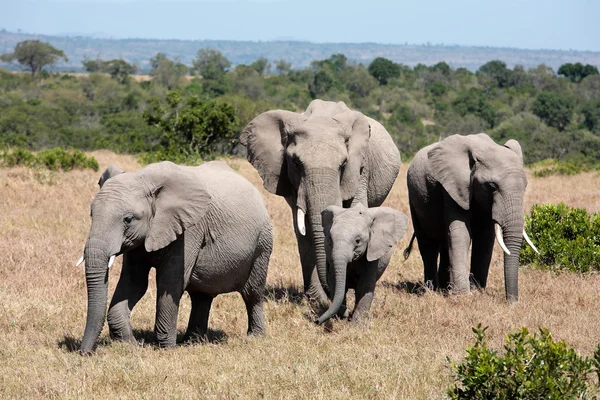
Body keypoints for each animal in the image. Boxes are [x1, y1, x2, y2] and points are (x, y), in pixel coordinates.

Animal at [76, 159, 274, 354]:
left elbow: (169, 282)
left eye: (128, 219)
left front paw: (166, 349)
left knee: (252, 292)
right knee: (201, 296)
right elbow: (134, 282)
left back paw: (255, 337)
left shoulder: (189, 229)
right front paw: (130, 344)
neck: (145, 179)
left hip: (263, 242)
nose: (85, 352)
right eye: (91, 214)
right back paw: (192, 341)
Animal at [239, 98, 398, 308]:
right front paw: (317, 300)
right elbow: (304, 231)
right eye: (296, 163)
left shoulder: (360, 169)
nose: (329, 292)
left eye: (343, 165)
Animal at [406, 133, 536, 302]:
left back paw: (445, 288)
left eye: (525, 186)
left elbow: (485, 237)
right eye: (492, 186)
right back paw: (432, 290)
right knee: (427, 244)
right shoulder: (453, 187)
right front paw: (463, 295)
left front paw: (477, 291)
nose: (513, 302)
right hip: (414, 198)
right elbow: (461, 232)